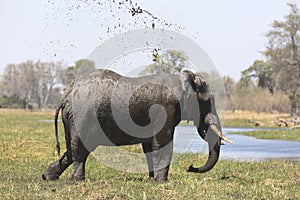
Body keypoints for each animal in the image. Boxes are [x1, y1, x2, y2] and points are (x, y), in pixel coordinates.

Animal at [42, 69, 234, 181]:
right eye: (207, 101)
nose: (190, 168)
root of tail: (66, 93)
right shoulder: (166, 108)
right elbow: (163, 142)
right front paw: (161, 182)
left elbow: (149, 145)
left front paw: (152, 179)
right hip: (82, 115)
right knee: (81, 150)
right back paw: (77, 181)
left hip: (72, 118)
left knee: (72, 149)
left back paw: (48, 177)